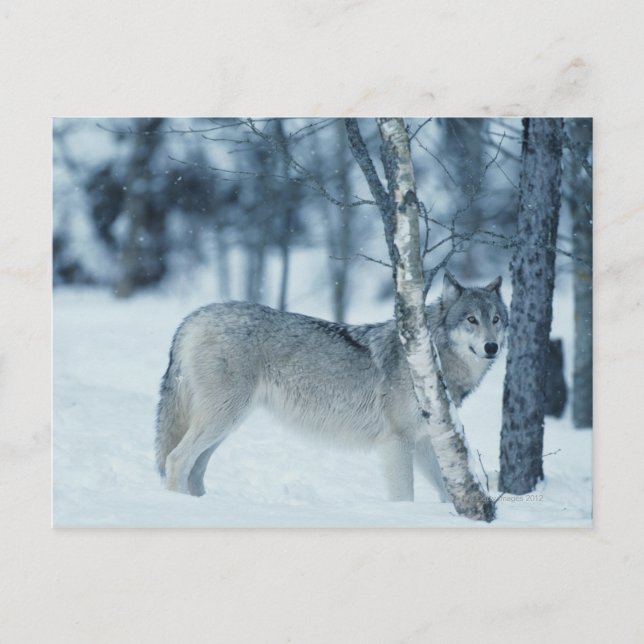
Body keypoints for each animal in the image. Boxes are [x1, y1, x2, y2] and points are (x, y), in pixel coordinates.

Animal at [155, 272, 508, 502]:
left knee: (195, 469)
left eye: (496, 319)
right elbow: (404, 496)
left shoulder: (422, 442)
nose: (492, 347)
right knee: (176, 459)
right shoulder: (397, 441)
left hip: (227, 424)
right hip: (223, 418)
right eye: (471, 320)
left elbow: (450, 492)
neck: (430, 358)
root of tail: (194, 316)